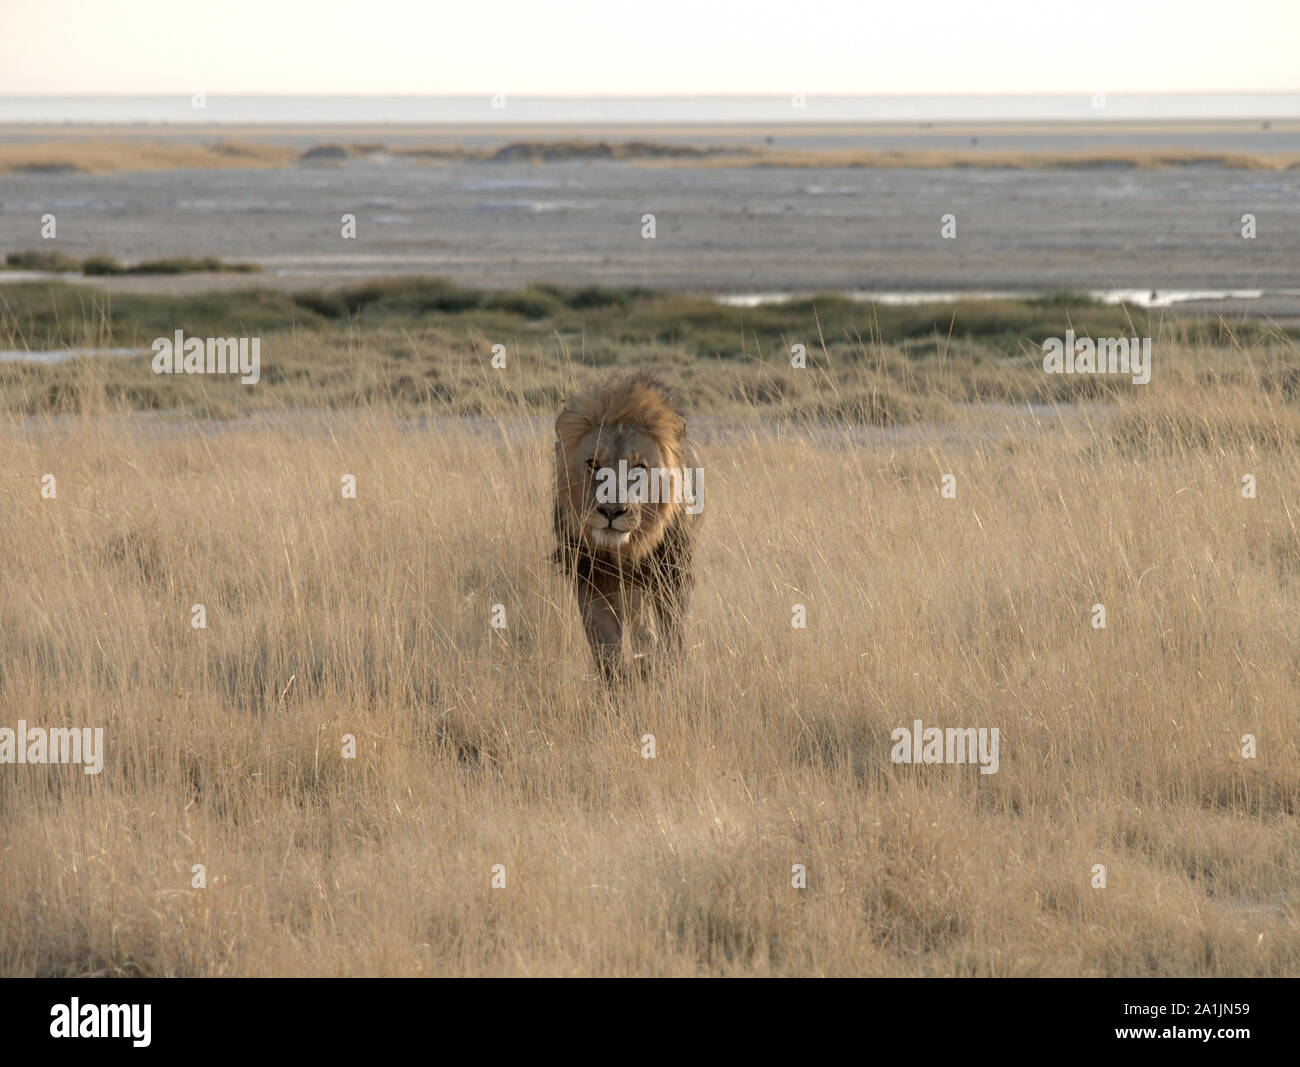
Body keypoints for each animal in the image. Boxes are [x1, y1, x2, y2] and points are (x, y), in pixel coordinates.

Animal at [553, 371, 707, 681]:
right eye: (594, 464)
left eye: (638, 467)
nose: (612, 511)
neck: (625, 549)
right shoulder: (591, 576)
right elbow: (605, 644)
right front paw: (618, 683)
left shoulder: (671, 574)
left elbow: (671, 635)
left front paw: (666, 673)